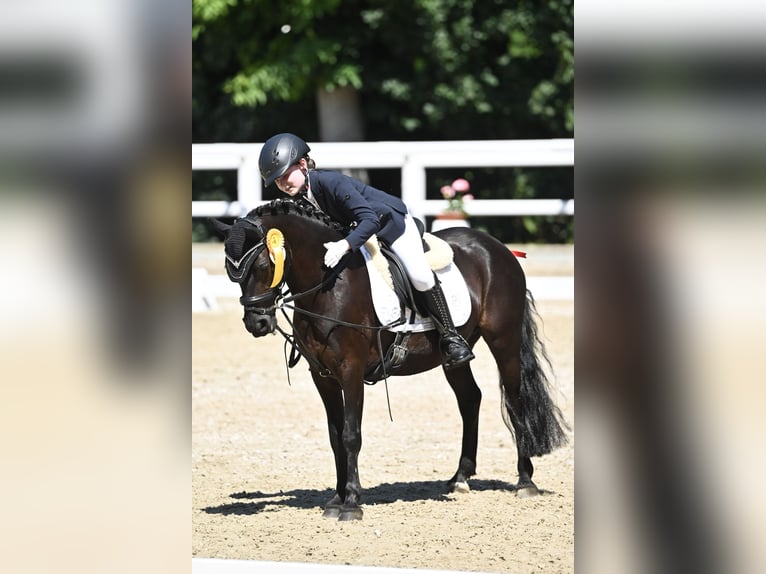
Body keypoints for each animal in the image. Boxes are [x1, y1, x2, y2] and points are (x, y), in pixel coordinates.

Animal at [211, 198, 567, 521]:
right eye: (231, 272)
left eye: (262, 266)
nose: (257, 323)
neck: (327, 285)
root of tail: (499, 249)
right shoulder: (323, 376)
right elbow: (335, 437)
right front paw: (336, 499)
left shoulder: (351, 371)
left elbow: (351, 435)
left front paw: (352, 503)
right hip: (454, 356)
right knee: (470, 398)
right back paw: (461, 478)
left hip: (503, 340)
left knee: (515, 399)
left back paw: (525, 481)